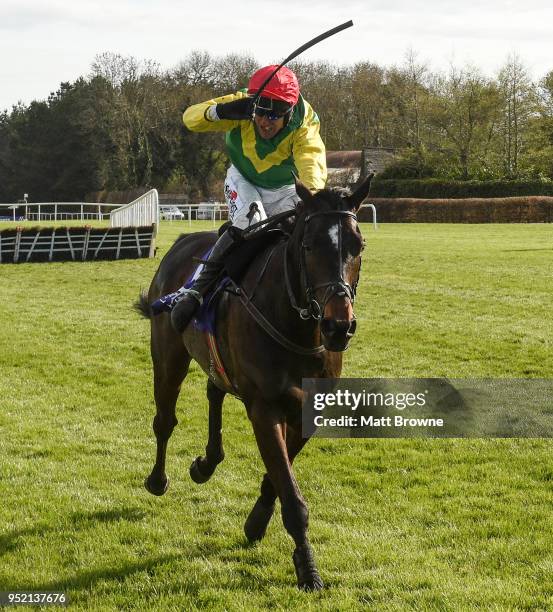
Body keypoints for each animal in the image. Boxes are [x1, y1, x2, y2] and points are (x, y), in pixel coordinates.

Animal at [136, 172, 374, 588]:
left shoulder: (306, 409)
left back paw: (207, 462)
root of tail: (180, 243)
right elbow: (290, 494)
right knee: (164, 420)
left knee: (214, 389)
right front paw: (308, 569)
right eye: (309, 245)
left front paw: (256, 522)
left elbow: (278, 478)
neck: (296, 326)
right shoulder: (265, 409)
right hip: (168, 356)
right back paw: (158, 479)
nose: (338, 326)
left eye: (357, 246)